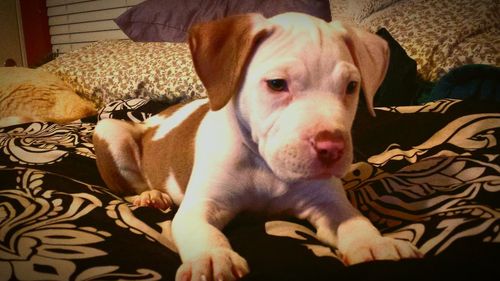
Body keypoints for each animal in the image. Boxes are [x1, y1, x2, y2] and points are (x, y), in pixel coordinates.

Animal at [94, 12, 422, 278]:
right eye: (277, 84)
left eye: (351, 87)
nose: (332, 148)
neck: (264, 166)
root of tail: (153, 119)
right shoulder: (201, 205)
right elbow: (200, 231)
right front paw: (211, 258)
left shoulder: (328, 203)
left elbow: (355, 221)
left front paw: (375, 244)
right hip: (109, 128)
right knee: (131, 185)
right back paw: (150, 195)